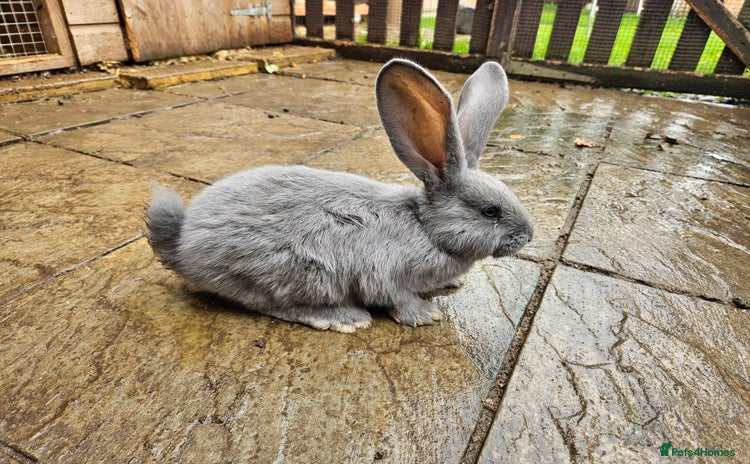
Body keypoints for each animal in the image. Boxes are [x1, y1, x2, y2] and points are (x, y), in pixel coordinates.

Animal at [146, 58, 533, 333]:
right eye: (490, 211)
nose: (528, 236)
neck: (425, 228)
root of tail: (183, 246)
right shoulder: (386, 274)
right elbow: (397, 297)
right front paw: (424, 315)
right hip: (300, 275)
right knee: (276, 305)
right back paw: (344, 318)